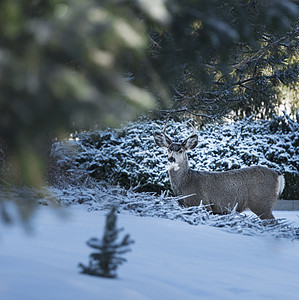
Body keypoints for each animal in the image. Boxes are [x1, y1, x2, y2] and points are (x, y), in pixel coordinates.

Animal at [155, 127, 286, 219]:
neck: (186, 183)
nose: (171, 159)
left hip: (262, 203)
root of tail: (278, 175)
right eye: (169, 149)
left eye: (181, 150)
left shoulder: (202, 203)